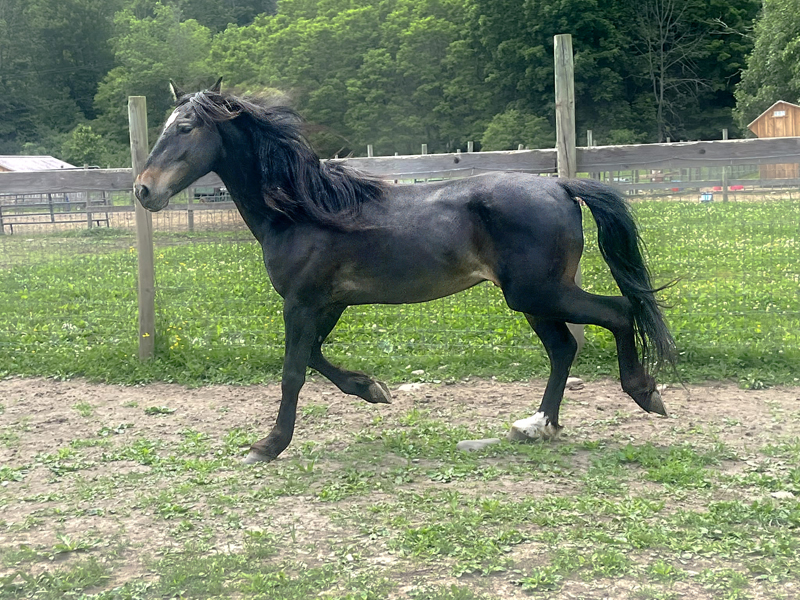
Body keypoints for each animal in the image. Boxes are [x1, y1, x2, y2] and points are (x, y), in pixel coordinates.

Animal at [136, 81, 676, 464]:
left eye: (186, 128)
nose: (143, 190)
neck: (302, 210)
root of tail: (561, 186)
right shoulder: (328, 304)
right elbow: (315, 358)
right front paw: (371, 389)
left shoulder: (302, 303)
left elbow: (293, 371)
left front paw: (268, 445)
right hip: (533, 298)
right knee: (565, 347)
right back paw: (536, 425)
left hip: (537, 293)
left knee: (618, 312)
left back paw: (643, 393)